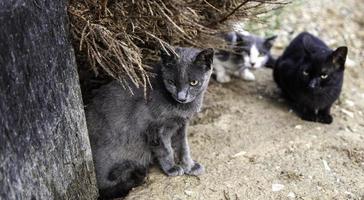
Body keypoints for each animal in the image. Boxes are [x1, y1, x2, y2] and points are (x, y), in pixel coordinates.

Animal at [85, 46, 213, 198]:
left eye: (193, 82)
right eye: (171, 82)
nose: (181, 97)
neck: (180, 108)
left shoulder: (181, 125)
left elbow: (184, 147)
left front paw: (190, 166)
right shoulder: (153, 128)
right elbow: (166, 150)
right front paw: (172, 169)